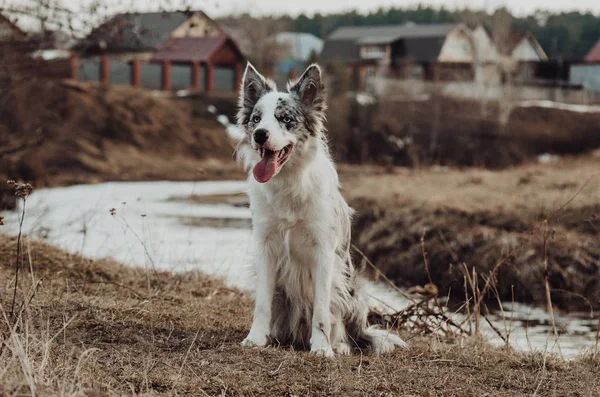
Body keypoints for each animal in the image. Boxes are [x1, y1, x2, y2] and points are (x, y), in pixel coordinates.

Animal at [237, 62, 406, 356]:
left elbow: (321, 310)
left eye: (286, 119)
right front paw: (255, 339)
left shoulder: (323, 252)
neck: (289, 183)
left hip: (351, 285)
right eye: (256, 119)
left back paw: (340, 345)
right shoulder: (265, 247)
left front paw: (322, 348)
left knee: (344, 326)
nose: (260, 135)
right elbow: (262, 304)